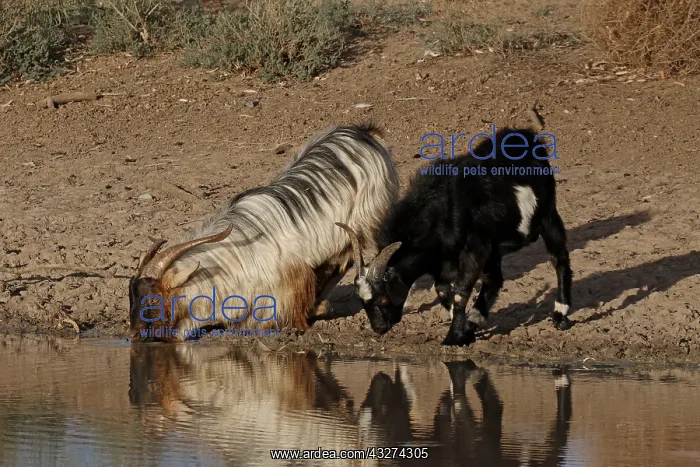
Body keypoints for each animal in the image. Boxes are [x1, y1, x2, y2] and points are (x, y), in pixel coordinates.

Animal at [129, 123, 399, 341]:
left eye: (152, 299)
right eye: (131, 295)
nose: (133, 335)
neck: (234, 260)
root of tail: (366, 132)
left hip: (368, 219)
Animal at [336, 127, 573, 346]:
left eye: (384, 297)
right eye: (362, 301)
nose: (379, 328)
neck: (443, 210)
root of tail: (527, 136)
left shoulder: (474, 250)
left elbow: (460, 292)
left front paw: (454, 337)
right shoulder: (441, 261)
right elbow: (442, 291)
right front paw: (463, 329)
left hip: (548, 215)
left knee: (559, 258)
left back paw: (560, 315)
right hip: (494, 250)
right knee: (494, 279)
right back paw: (476, 319)